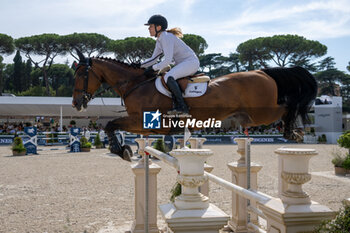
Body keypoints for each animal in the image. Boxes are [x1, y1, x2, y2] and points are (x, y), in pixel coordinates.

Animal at [71, 49, 318, 160]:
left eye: (81, 74)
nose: (75, 103)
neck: (136, 84)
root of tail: (262, 71)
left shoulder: (142, 121)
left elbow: (110, 124)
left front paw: (119, 149)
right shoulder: (144, 125)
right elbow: (113, 125)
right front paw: (122, 148)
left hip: (264, 112)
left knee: (289, 107)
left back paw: (294, 131)